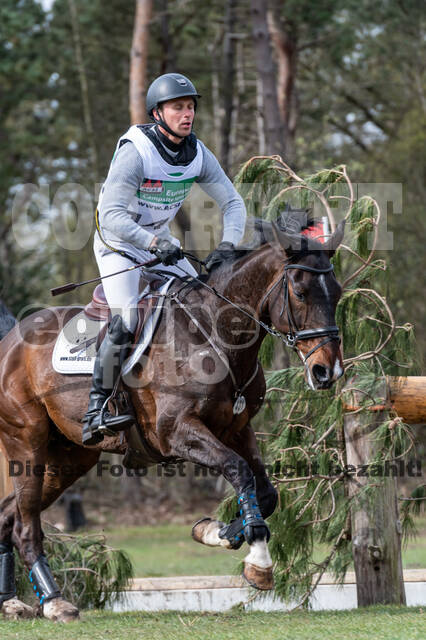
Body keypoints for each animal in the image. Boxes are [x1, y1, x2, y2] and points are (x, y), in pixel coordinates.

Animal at [0, 215, 346, 620]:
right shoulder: (177, 433)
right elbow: (239, 471)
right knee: (25, 525)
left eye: (337, 293)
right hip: (27, 443)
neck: (214, 333)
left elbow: (265, 491)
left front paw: (217, 531)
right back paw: (55, 601)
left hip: (69, 459)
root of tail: (10, 341)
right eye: (301, 293)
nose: (327, 372)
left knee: (8, 517)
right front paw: (258, 561)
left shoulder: (237, 429)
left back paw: (10, 601)